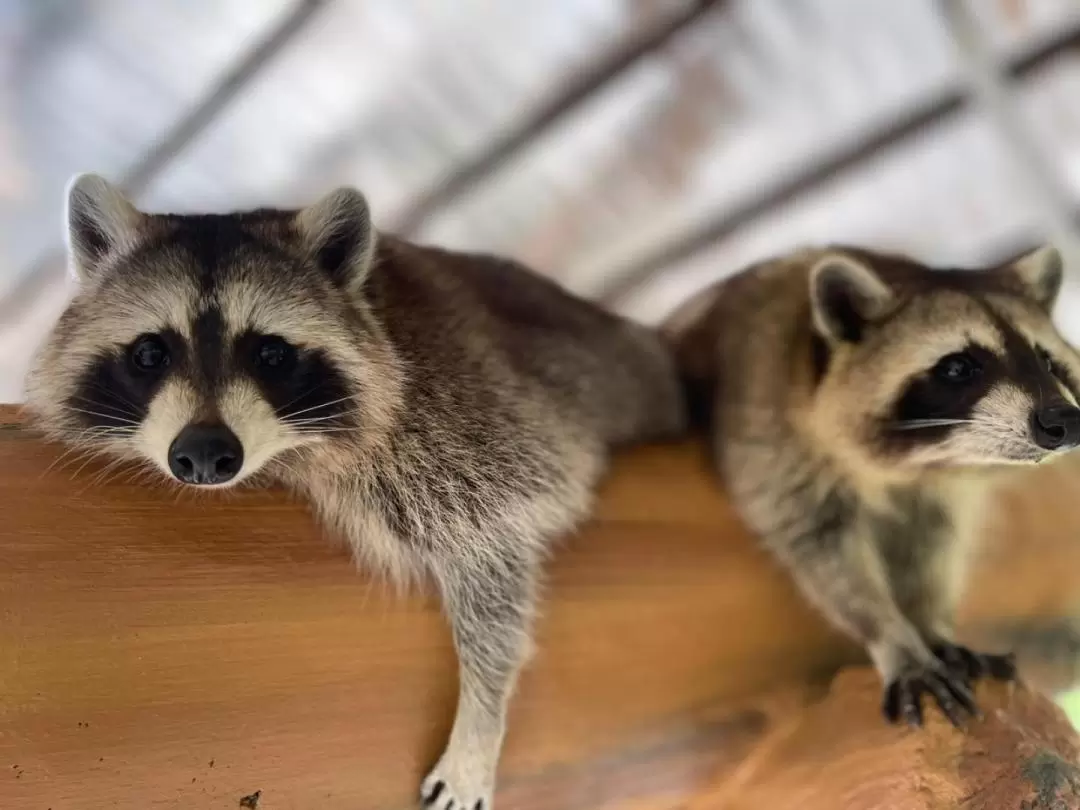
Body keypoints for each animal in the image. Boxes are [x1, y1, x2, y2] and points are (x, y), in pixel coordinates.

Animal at [25, 177, 682, 810]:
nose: (207, 454)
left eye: (271, 353)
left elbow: (496, 556)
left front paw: (481, 721)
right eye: (150, 352)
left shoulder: (465, 427)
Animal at [665, 246, 1080, 730]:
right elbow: (823, 552)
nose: (1064, 421)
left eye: (1048, 361)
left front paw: (928, 624)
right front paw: (893, 638)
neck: (922, 463)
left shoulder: (938, 493)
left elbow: (931, 544)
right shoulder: (764, 425)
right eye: (958, 367)